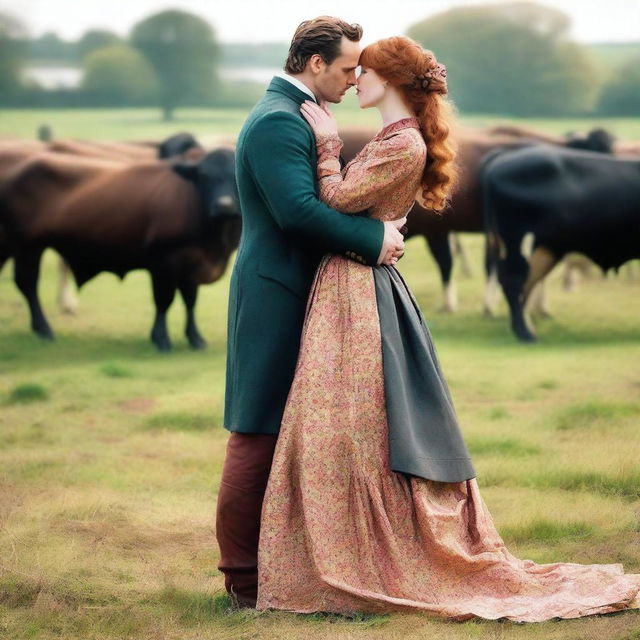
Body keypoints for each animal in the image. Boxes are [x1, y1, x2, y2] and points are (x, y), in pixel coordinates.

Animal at [0, 147, 240, 350]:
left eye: (236, 177)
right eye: (205, 177)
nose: (224, 206)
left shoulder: (191, 264)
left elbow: (190, 301)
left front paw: (195, 338)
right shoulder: (163, 262)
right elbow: (164, 301)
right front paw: (161, 338)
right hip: (28, 246)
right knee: (28, 284)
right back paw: (44, 328)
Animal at [480, 146, 640, 342]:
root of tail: (505, 156)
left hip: (543, 250)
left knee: (525, 286)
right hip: (517, 244)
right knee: (513, 282)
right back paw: (526, 334)